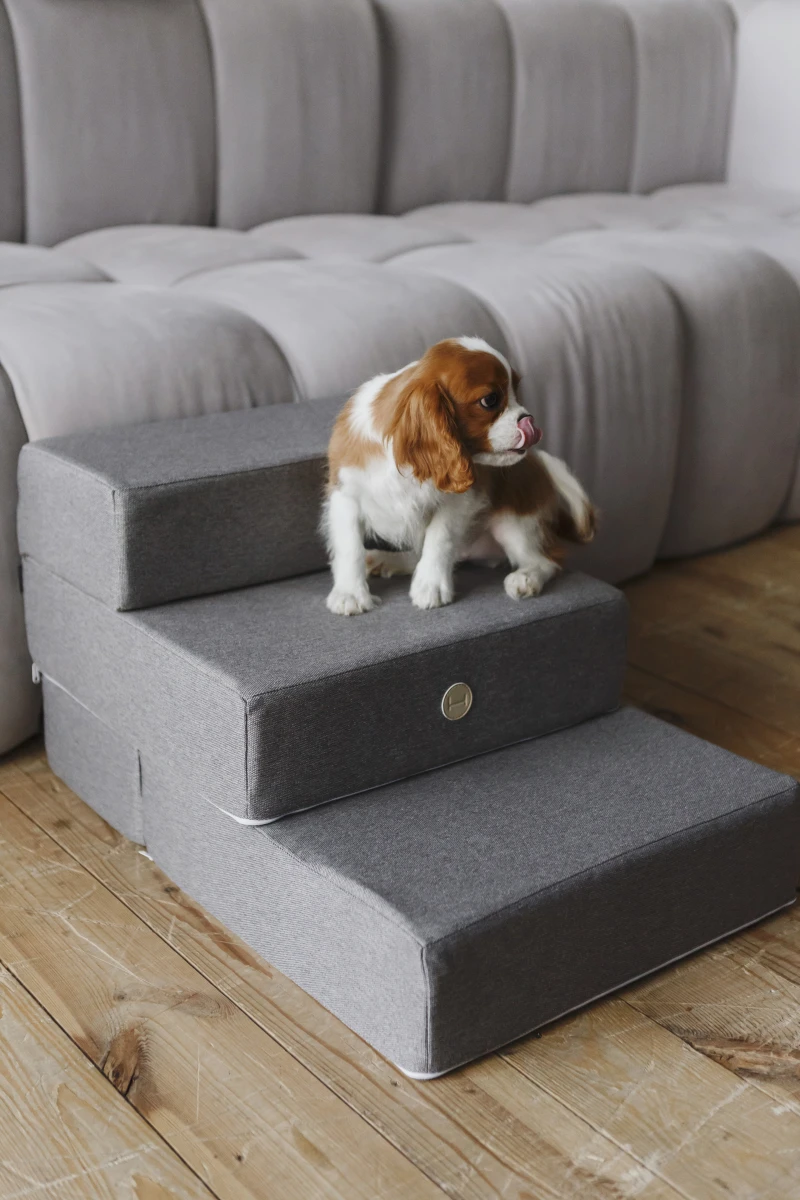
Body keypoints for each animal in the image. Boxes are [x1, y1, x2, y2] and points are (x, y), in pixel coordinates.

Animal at [323, 336, 595, 615]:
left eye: (516, 391)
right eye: (490, 400)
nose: (529, 420)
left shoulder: (458, 501)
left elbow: (439, 539)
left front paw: (430, 586)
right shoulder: (345, 496)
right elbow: (350, 546)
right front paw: (350, 594)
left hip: (515, 520)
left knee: (548, 560)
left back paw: (526, 578)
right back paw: (388, 559)